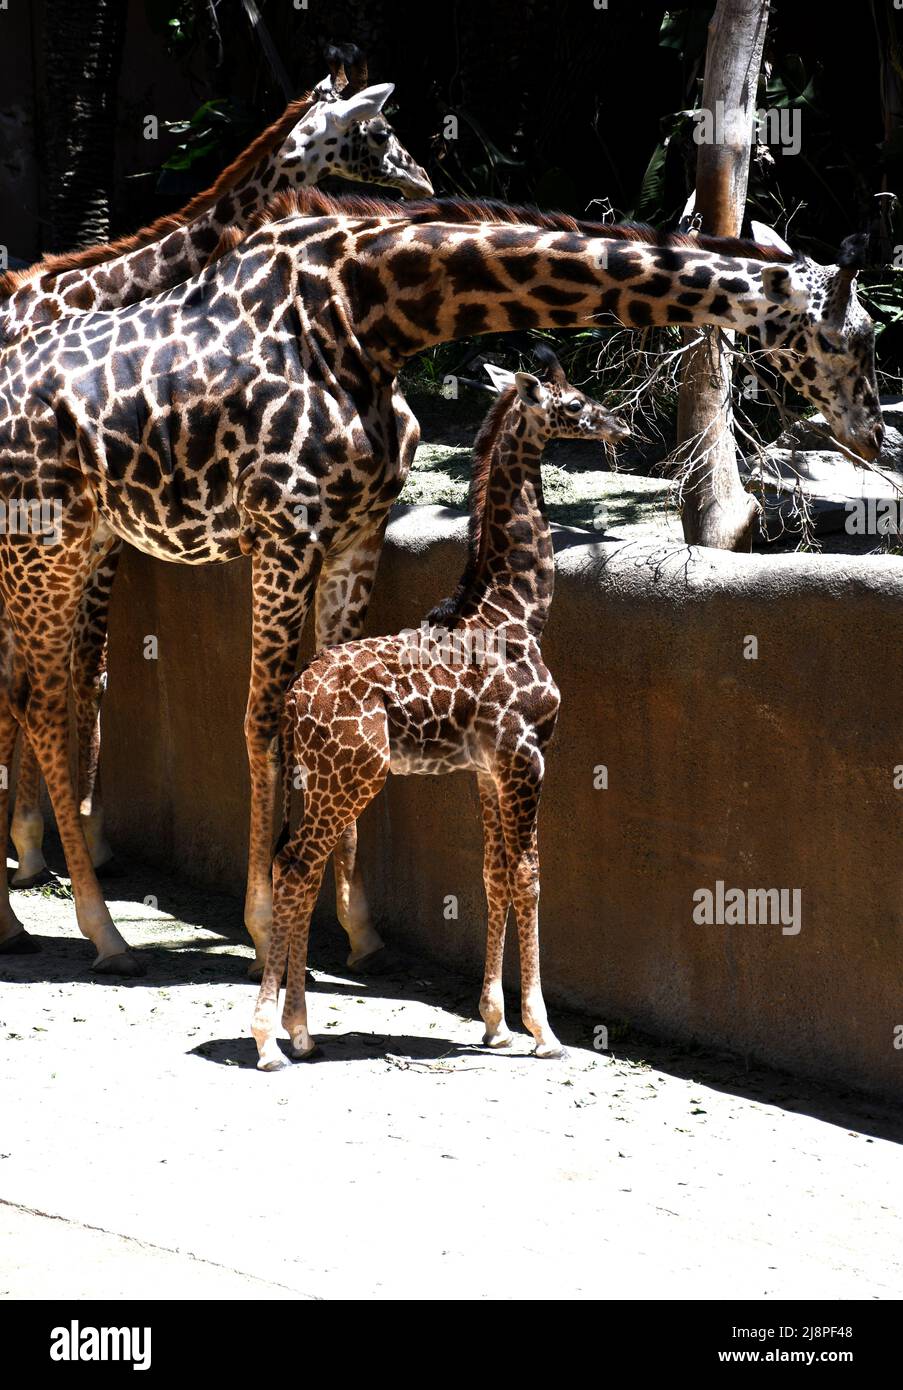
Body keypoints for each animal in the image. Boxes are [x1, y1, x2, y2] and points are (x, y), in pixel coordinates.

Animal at [0, 190, 882, 982]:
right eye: (857, 336)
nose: (872, 434)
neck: (373, 316)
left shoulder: (354, 532)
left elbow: (324, 687)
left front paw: (357, 931)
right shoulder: (284, 530)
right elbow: (262, 716)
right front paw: (262, 924)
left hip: (63, 550)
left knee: (29, 692)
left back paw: (22, 920)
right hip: (46, 545)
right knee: (42, 699)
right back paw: (102, 931)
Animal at [3, 62, 433, 891]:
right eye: (379, 128)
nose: (424, 179)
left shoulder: (101, 532)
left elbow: (87, 668)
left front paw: (66, 839)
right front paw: (40, 841)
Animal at [252, 347, 630, 1069]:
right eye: (572, 403)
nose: (617, 425)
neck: (520, 611)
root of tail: (294, 705)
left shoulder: (485, 767)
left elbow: (492, 874)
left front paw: (495, 1023)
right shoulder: (525, 753)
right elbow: (530, 875)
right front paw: (543, 1032)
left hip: (319, 779)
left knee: (294, 865)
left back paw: (300, 1031)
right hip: (353, 777)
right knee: (297, 867)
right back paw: (271, 1039)